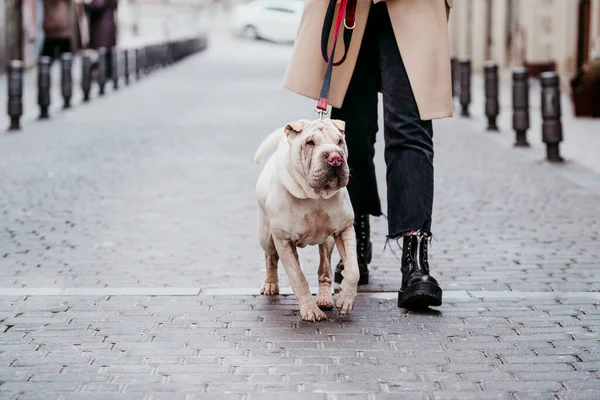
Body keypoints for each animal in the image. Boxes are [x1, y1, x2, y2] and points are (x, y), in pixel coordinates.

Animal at [254, 118, 358, 322]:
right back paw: (270, 284)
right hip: (266, 237)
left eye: (339, 141)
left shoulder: (344, 228)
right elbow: (298, 277)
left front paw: (346, 300)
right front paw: (310, 311)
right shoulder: (284, 241)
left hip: (327, 242)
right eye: (310, 143)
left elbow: (353, 269)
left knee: (324, 269)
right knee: (270, 257)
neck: (315, 196)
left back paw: (325, 298)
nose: (335, 157)